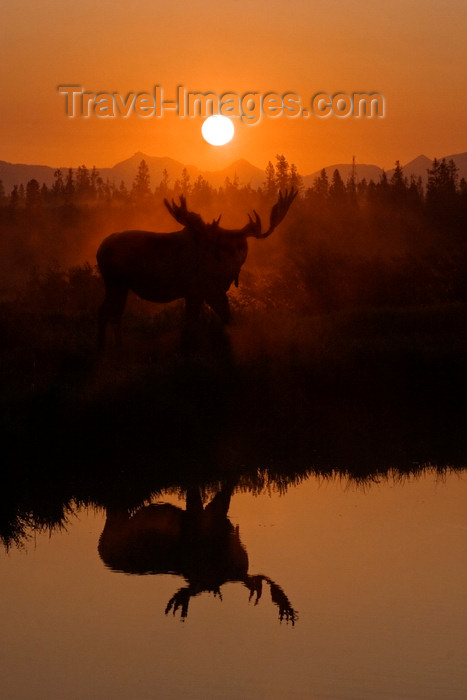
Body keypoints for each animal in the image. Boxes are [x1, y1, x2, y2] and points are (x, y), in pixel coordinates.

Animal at [97, 190, 298, 346]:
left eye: (243, 245)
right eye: (223, 245)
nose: (236, 259)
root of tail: (99, 251)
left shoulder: (208, 292)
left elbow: (227, 320)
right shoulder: (198, 290)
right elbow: (192, 327)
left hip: (120, 285)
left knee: (113, 312)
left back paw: (115, 347)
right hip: (115, 282)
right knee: (107, 312)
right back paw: (104, 348)